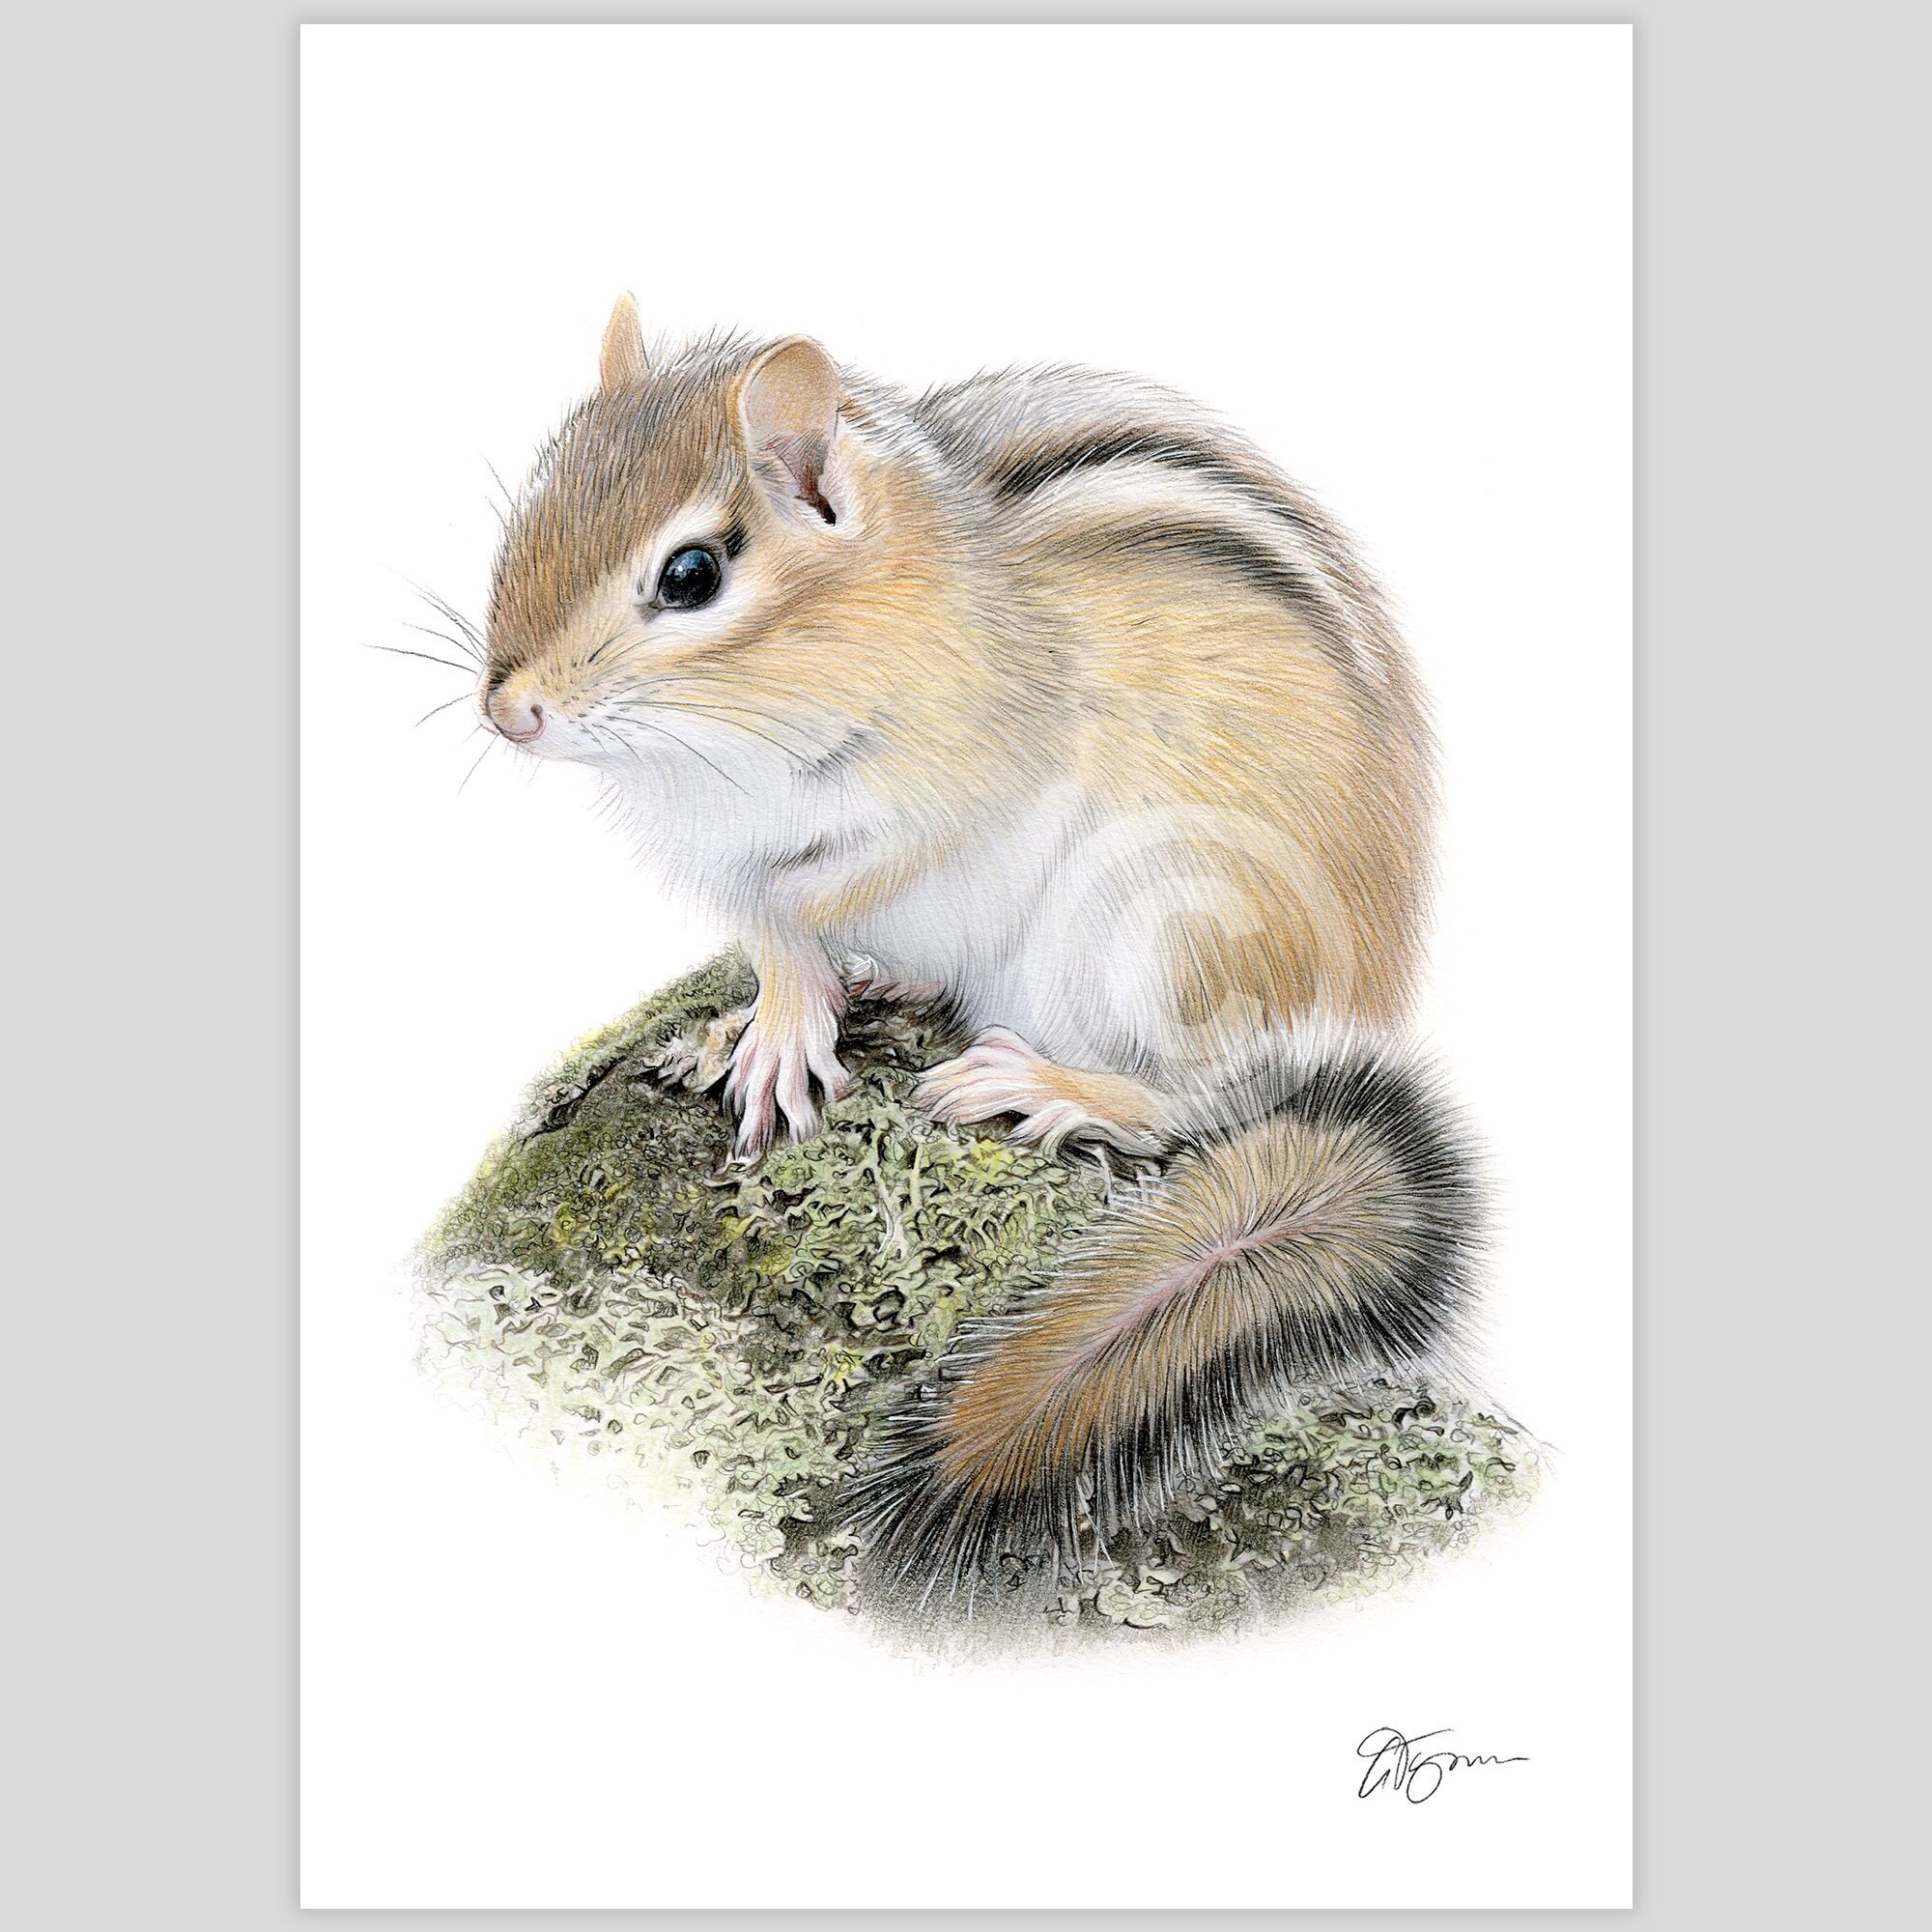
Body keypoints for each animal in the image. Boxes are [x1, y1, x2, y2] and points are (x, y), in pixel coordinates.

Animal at [477, 296, 1481, 1590]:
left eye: (691, 573)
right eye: (532, 501)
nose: (507, 711)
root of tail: (1364, 1001)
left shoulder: (964, 779)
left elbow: (824, 886)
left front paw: (789, 1008)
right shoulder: (723, 855)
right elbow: (769, 925)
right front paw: (758, 1021)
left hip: (1165, 933)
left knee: (1191, 1094)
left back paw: (1050, 1084)